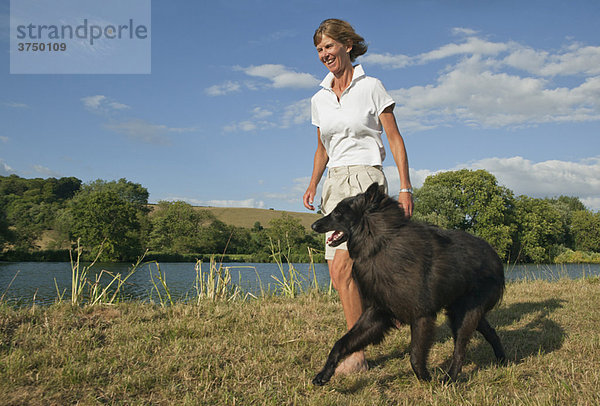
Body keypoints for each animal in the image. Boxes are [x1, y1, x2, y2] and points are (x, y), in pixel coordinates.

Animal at [312, 182, 504, 386]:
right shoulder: (376, 314)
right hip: (460, 312)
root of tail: (495, 255)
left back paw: (449, 379)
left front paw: (427, 380)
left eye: (339, 212)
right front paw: (324, 374)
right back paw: (502, 360)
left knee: (460, 350)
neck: (379, 246)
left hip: (464, 315)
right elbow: (340, 344)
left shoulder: (421, 316)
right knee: (490, 332)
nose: (313, 225)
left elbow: (415, 356)